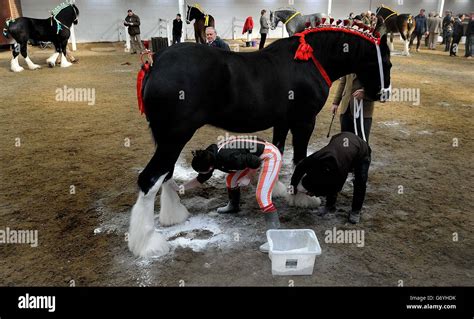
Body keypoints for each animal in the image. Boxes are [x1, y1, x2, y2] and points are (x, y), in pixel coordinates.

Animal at [128, 19, 390, 258]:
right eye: (386, 62)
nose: (384, 94)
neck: (310, 62)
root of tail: (155, 63)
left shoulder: (282, 122)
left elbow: (279, 150)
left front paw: (278, 189)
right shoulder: (304, 122)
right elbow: (300, 158)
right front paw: (302, 198)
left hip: (166, 139)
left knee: (166, 174)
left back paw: (173, 216)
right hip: (175, 137)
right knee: (150, 179)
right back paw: (148, 244)